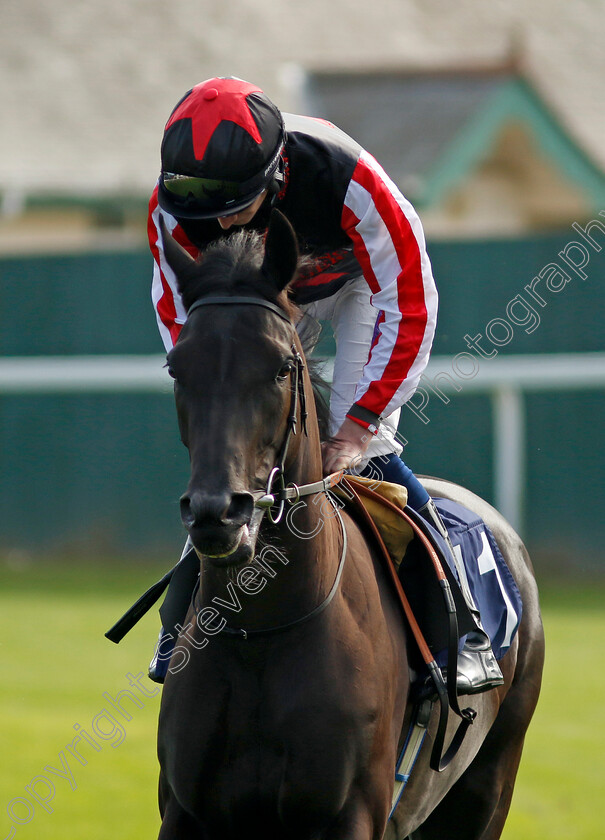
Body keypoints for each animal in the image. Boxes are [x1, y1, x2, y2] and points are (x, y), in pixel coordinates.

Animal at [155, 210, 544, 840]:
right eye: (176, 367)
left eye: (281, 367)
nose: (219, 512)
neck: (263, 631)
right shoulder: (185, 811)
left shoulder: (353, 812)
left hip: (489, 784)